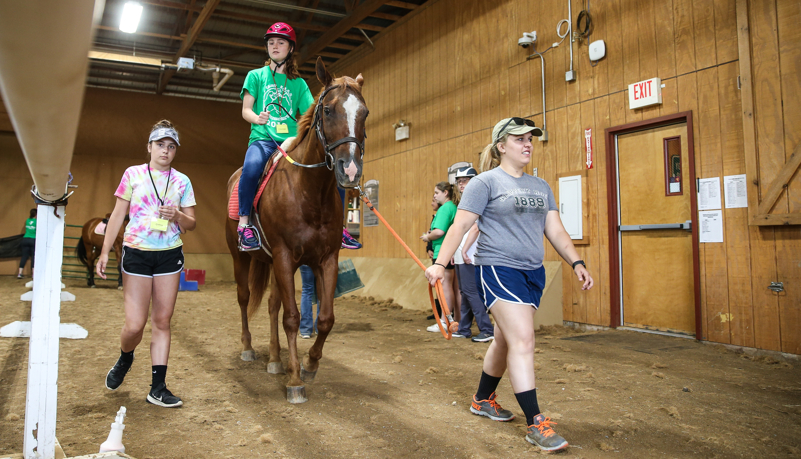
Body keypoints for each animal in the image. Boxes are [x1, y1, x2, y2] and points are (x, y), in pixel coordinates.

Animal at [223, 56, 364, 402]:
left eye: (364, 113)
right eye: (327, 110)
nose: (351, 170)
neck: (308, 191)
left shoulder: (325, 259)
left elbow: (324, 319)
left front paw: (310, 364)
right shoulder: (286, 257)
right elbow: (292, 318)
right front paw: (296, 379)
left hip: (273, 263)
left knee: (272, 305)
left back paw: (275, 359)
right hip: (241, 257)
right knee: (245, 298)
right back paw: (249, 348)